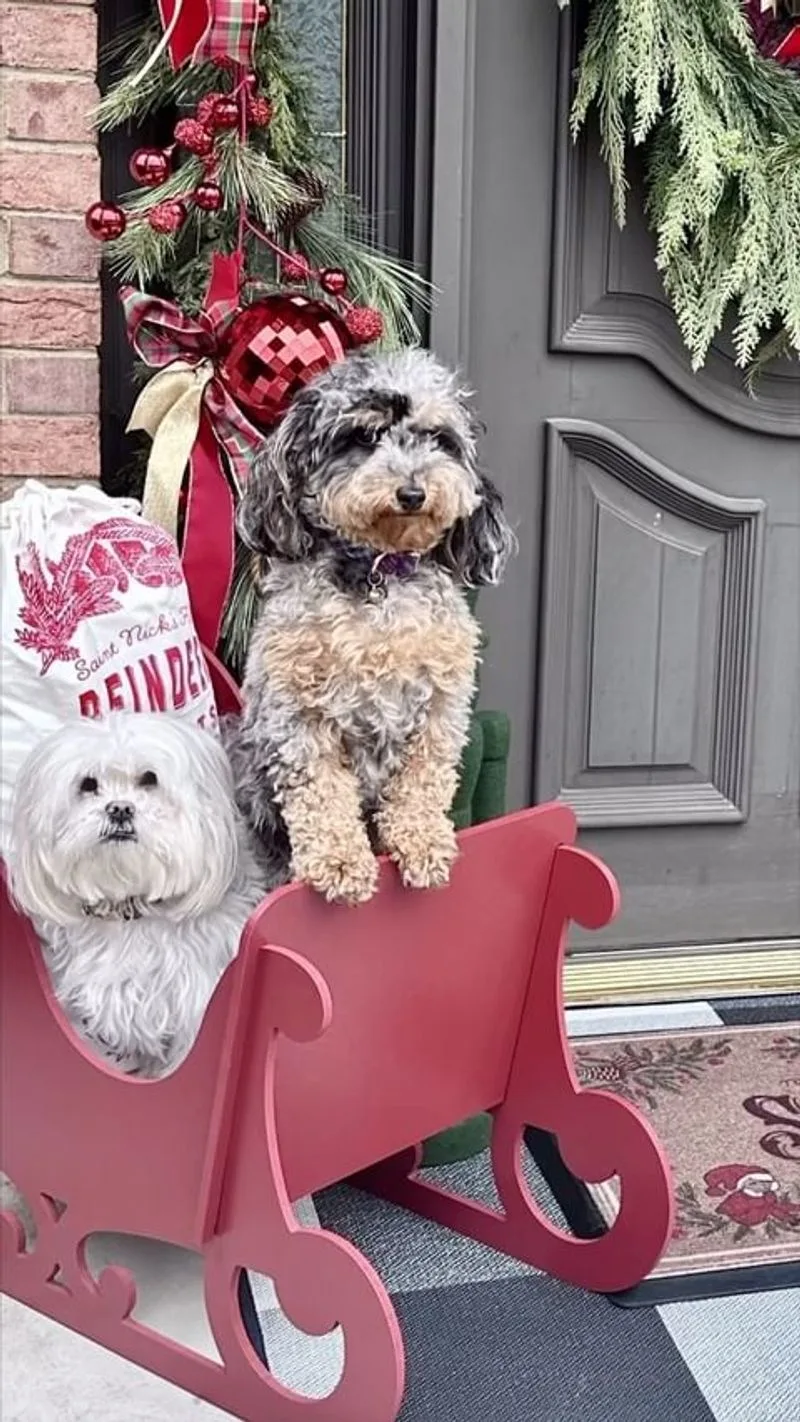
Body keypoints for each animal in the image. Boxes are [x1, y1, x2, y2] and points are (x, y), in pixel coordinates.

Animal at [227, 346, 514, 898]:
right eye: (363, 437)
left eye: (437, 438)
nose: (412, 492)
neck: (380, 571)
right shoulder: (299, 716)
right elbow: (321, 793)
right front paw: (340, 863)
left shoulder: (439, 713)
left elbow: (423, 782)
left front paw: (424, 843)